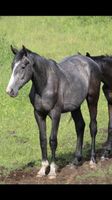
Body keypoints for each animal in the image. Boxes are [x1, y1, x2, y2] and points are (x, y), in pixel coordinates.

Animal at [5, 46, 100, 179]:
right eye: (12, 65)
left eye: (23, 66)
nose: (10, 91)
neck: (46, 85)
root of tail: (91, 61)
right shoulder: (39, 114)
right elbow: (43, 140)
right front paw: (43, 169)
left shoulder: (55, 114)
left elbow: (53, 140)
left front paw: (53, 171)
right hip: (75, 107)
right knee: (80, 126)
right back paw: (76, 161)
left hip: (92, 99)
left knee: (93, 126)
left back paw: (92, 161)